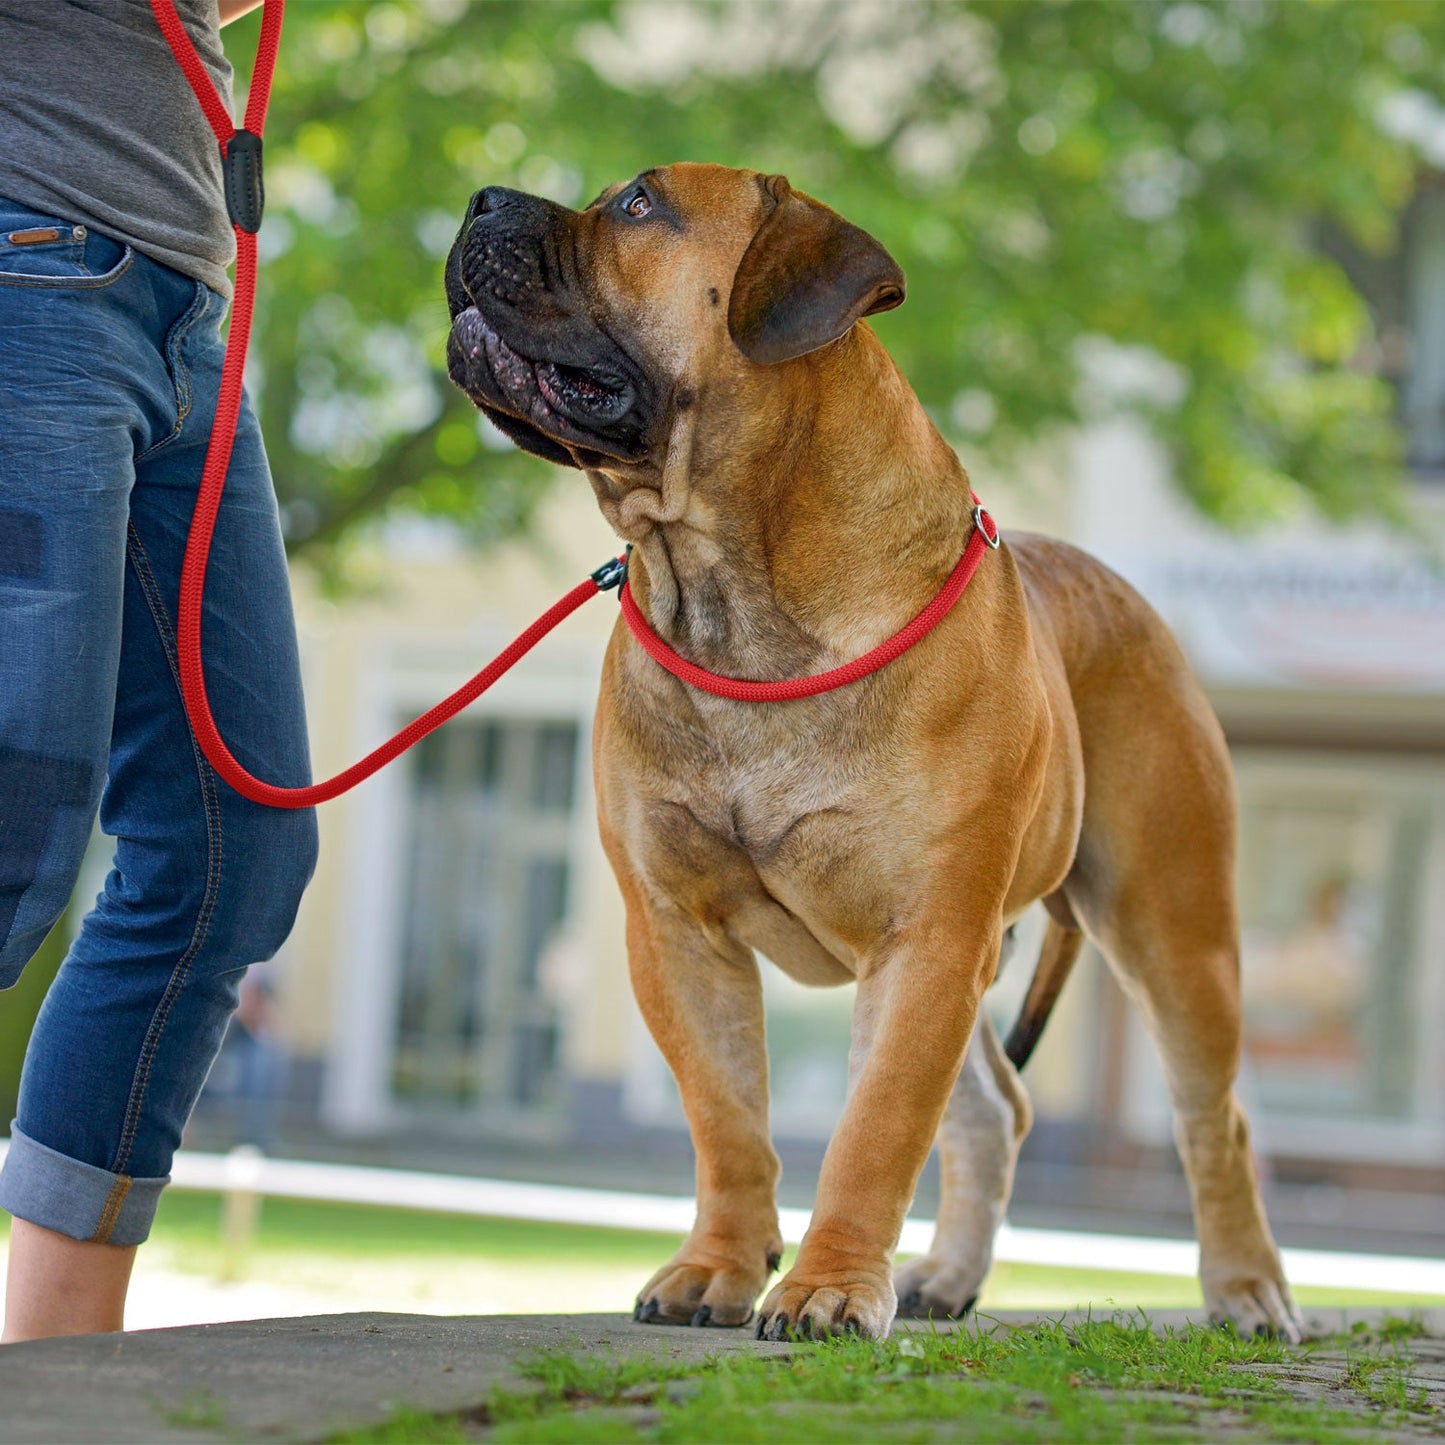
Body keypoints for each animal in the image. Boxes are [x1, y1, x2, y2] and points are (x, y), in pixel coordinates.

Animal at [445, 161, 1306, 1340]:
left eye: (638, 206)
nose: (479, 196)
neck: (729, 587)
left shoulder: (925, 939)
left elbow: (876, 1124)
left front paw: (827, 1287)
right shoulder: (675, 932)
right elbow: (726, 1116)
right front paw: (718, 1266)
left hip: (1172, 926)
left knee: (1212, 1121)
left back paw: (1246, 1289)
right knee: (995, 1107)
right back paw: (947, 1276)